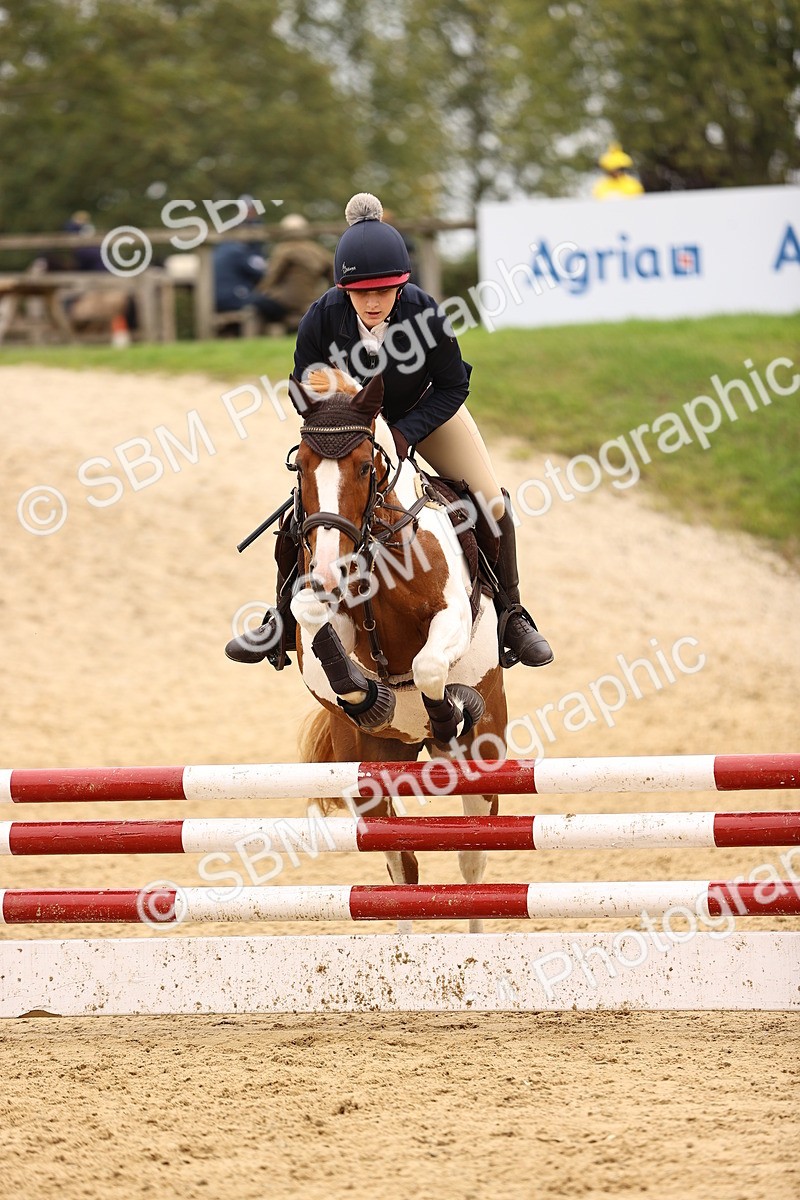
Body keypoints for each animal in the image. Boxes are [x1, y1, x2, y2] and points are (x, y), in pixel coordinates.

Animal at [286, 369, 508, 931]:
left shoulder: (452, 614)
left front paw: (448, 711)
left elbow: (428, 664)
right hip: (369, 770)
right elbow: (312, 620)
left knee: (474, 859)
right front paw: (366, 696)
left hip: (486, 754)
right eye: (301, 467)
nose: (329, 571)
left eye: (366, 467)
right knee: (400, 863)